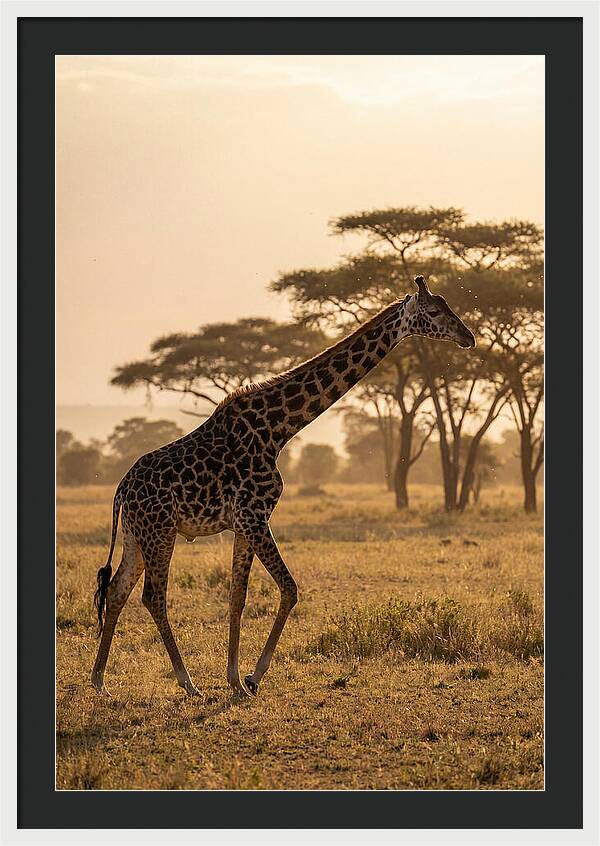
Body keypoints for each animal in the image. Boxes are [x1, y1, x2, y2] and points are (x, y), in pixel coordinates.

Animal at [91, 275, 475, 699]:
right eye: (435, 311)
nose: (469, 337)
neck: (278, 429)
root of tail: (122, 489)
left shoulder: (243, 524)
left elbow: (237, 596)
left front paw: (234, 680)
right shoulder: (254, 516)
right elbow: (290, 589)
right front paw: (253, 677)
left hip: (136, 535)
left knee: (117, 589)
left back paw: (100, 681)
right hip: (160, 532)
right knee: (153, 596)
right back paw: (187, 683)